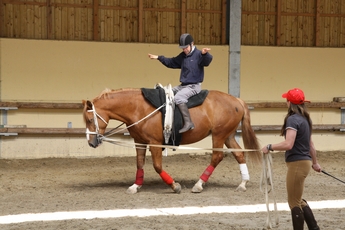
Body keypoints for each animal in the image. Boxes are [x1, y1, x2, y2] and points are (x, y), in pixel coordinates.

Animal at [82, 88, 260, 194]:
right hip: (228, 136)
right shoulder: (139, 141)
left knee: (217, 157)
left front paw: (174, 186)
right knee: (239, 154)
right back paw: (243, 183)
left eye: (90, 119)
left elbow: (157, 166)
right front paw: (136, 185)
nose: (91, 143)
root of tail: (237, 101)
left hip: (219, 135)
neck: (138, 108)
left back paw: (199, 184)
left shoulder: (154, 142)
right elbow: (139, 164)